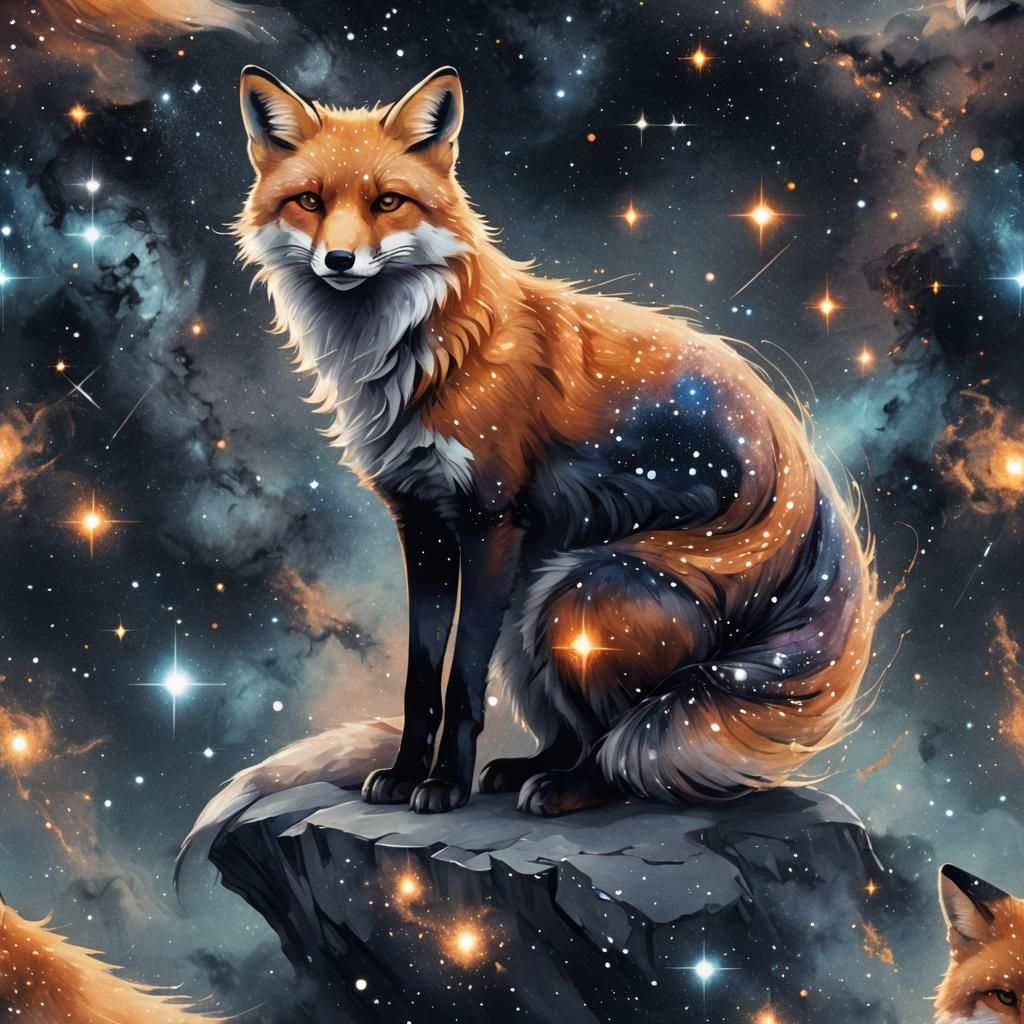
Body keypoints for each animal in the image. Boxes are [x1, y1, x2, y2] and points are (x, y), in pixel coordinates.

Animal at [233, 64, 877, 817]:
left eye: (387, 201)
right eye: (309, 200)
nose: (339, 259)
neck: (429, 352)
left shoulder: (489, 522)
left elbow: (462, 684)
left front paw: (442, 785)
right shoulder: (420, 522)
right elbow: (422, 679)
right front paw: (404, 775)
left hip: (576, 591)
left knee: (627, 743)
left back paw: (568, 787)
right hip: (533, 606)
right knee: (593, 730)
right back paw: (528, 768)